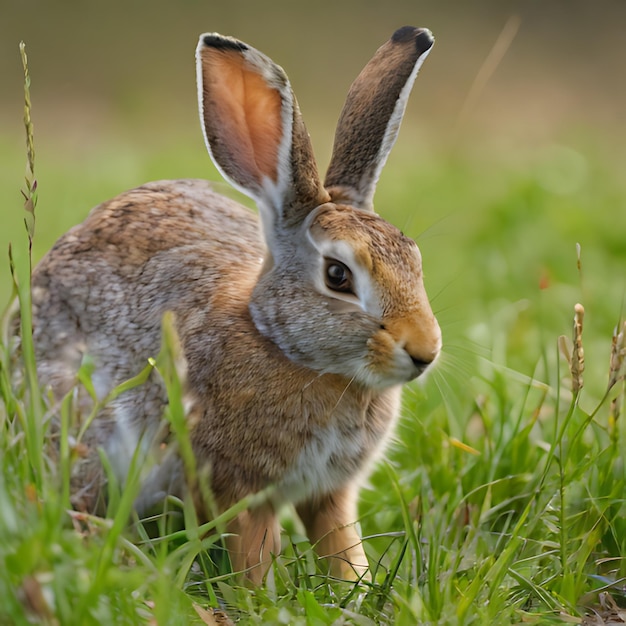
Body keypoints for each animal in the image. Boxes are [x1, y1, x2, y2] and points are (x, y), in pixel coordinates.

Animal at [29, 24, 438, 580]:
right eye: (337, 276)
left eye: (413, 257)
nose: (425, 352)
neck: (282, 344)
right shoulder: (235, 486)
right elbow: (252, 554)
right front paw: (261, 593)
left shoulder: (331, 492)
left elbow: (340, 543)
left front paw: (356, 585)